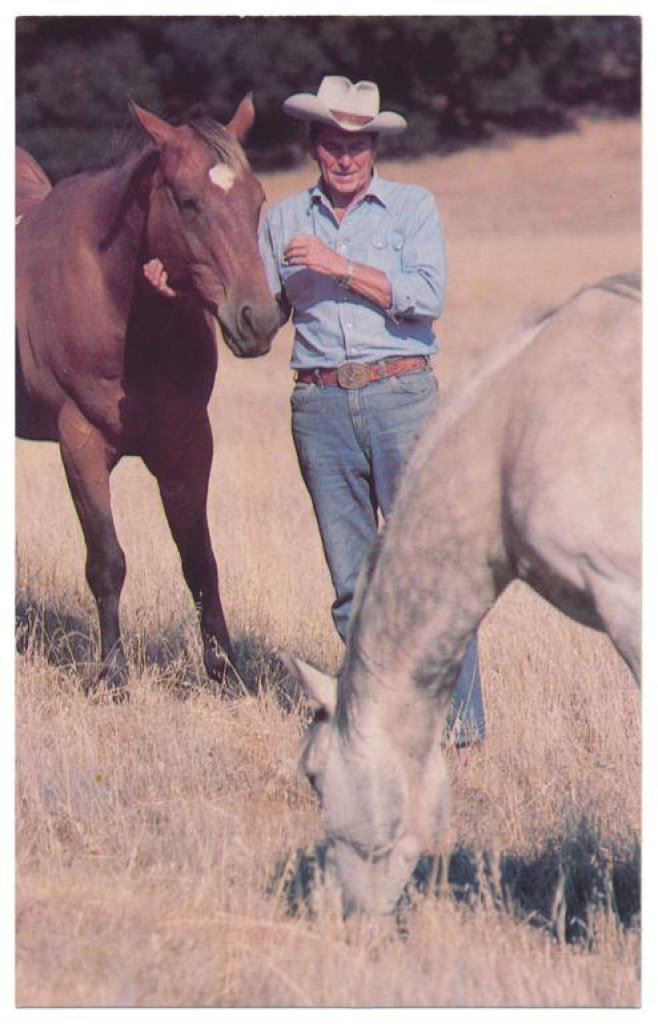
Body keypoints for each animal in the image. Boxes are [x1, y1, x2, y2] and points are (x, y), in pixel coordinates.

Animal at [16, 95, 281, 695]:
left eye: (257, 200)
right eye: (187, 202)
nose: (258, 319)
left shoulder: (187, 443)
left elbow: (200, 561)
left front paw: (226, 671)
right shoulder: (81, 443)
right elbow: (106, 561)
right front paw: (112, 676)